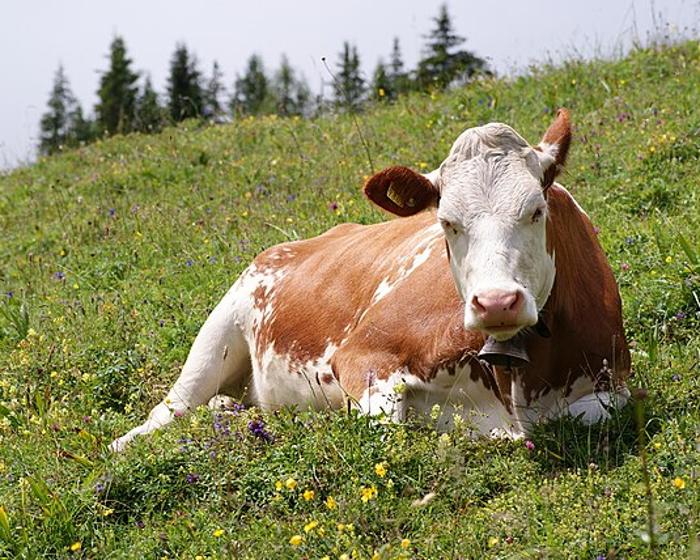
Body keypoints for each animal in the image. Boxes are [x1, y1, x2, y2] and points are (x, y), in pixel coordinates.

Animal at [110, 109, 631, 452]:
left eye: (536, 210)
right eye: (447, 222)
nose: (497, 302)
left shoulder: (615, 384)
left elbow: (594, 413)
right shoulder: (363, 355)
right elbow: (387, 424)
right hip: (220, 330)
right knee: (170, 410)